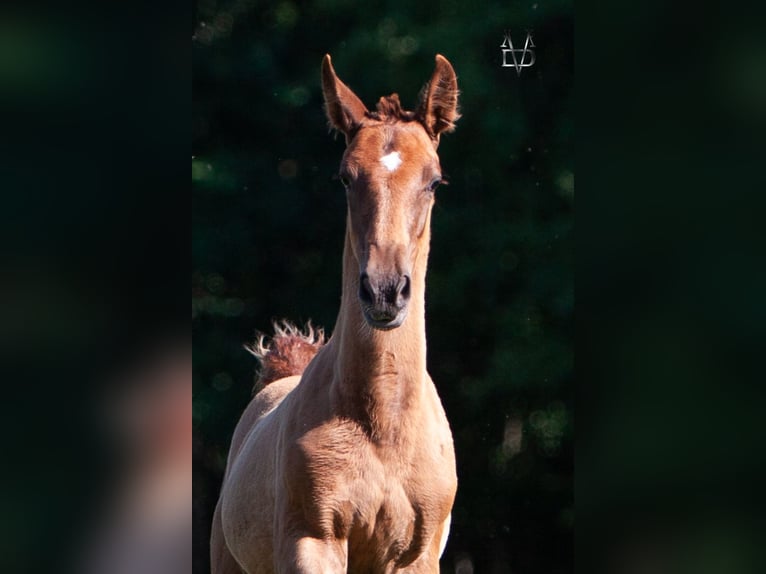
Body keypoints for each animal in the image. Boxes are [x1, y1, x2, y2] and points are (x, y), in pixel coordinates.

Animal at [210, 54, 462, 574]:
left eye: (434, 180)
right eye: (346, 177)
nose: (384, 291)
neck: (383, 424)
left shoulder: (415, 556)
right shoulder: (315, 541)